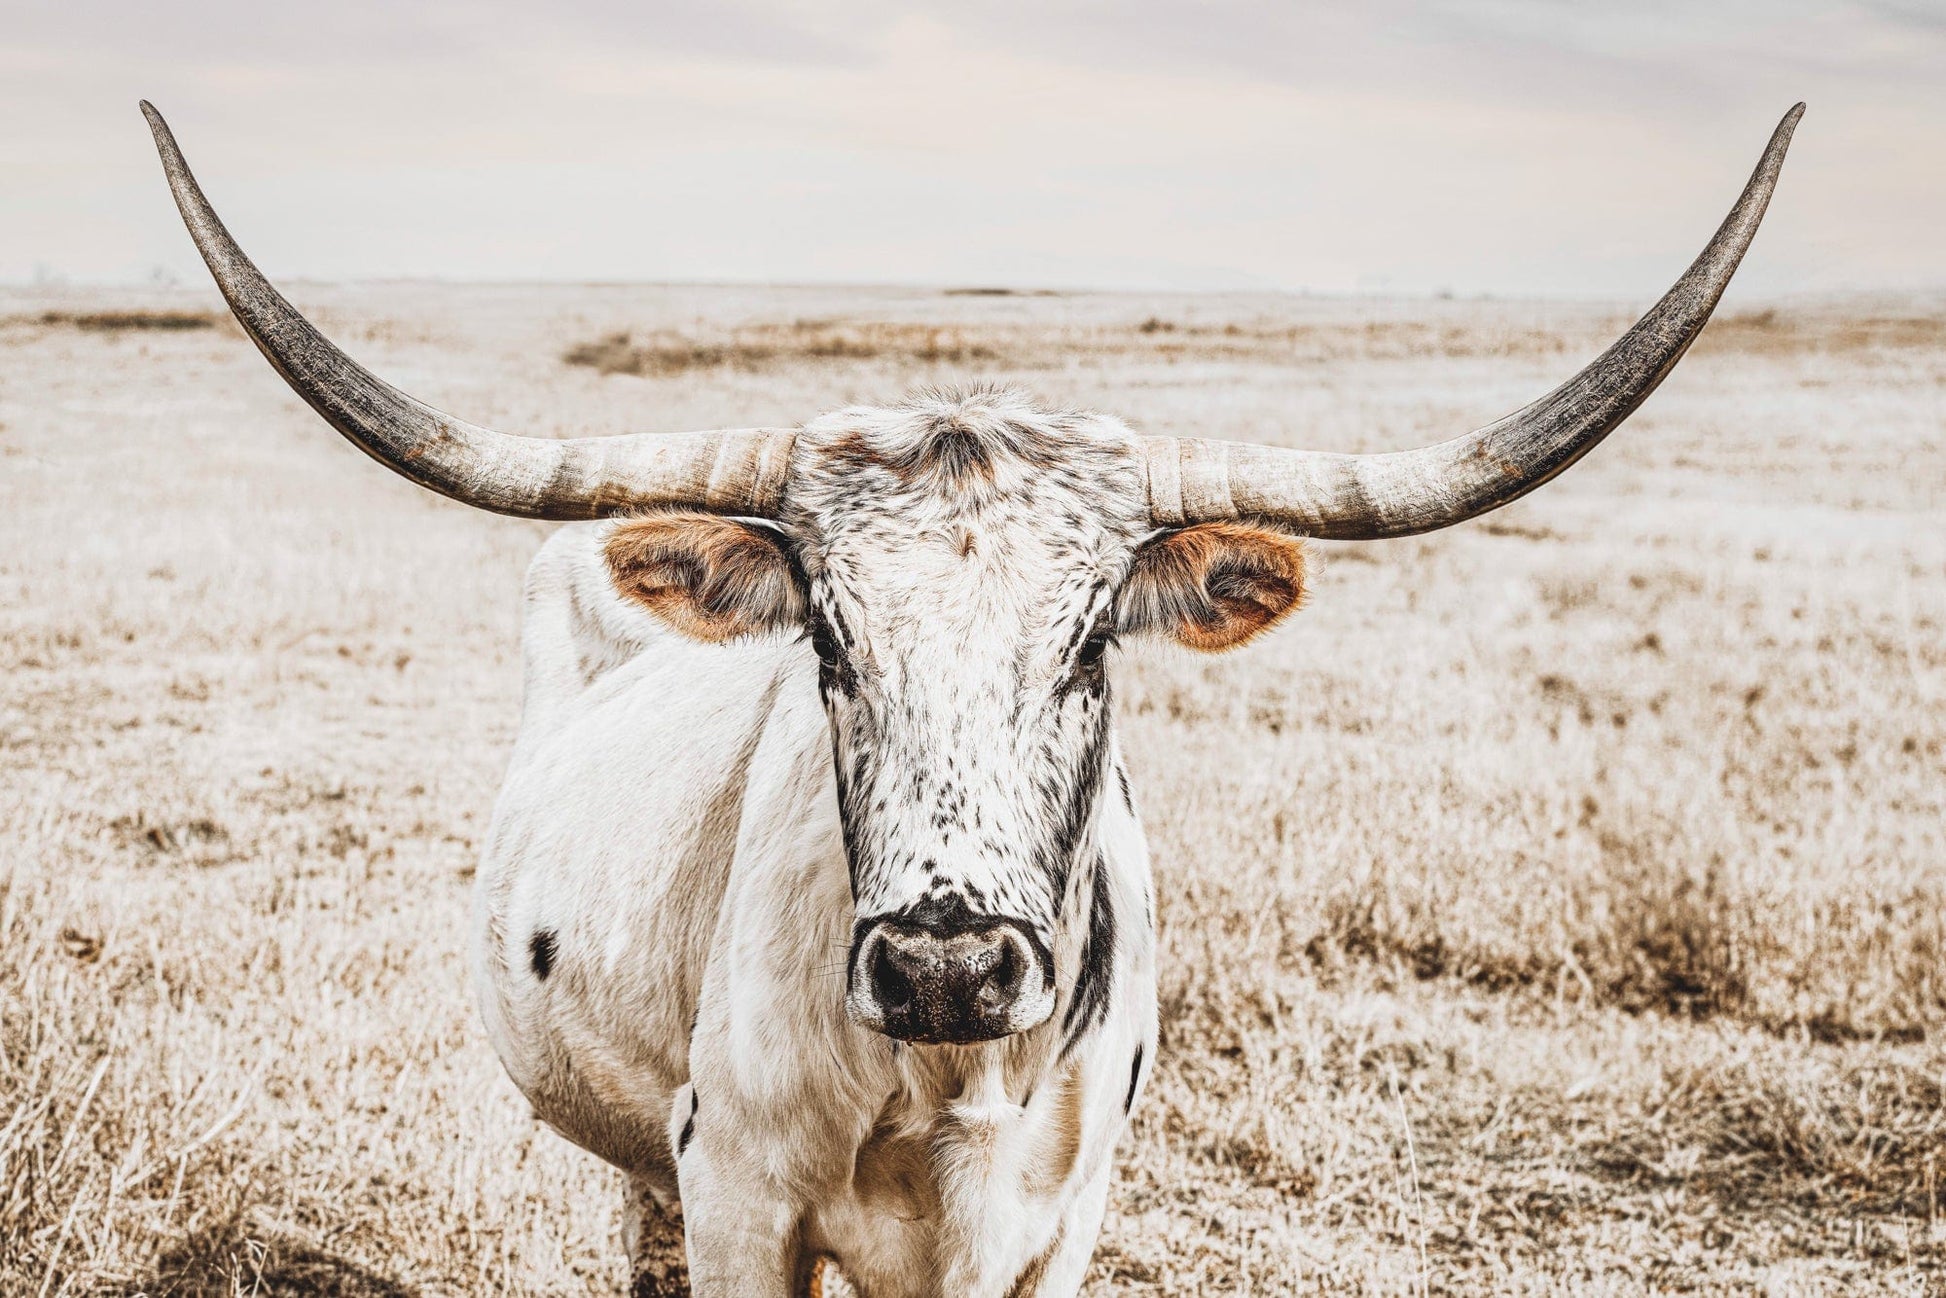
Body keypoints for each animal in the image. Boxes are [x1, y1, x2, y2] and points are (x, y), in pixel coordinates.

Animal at [144, 104, 1798, 1298]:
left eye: (1089, 647)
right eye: (826, 644)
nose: (947, 964)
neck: (944, 1079)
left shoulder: (1054, 1229)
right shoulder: (736, 1199)